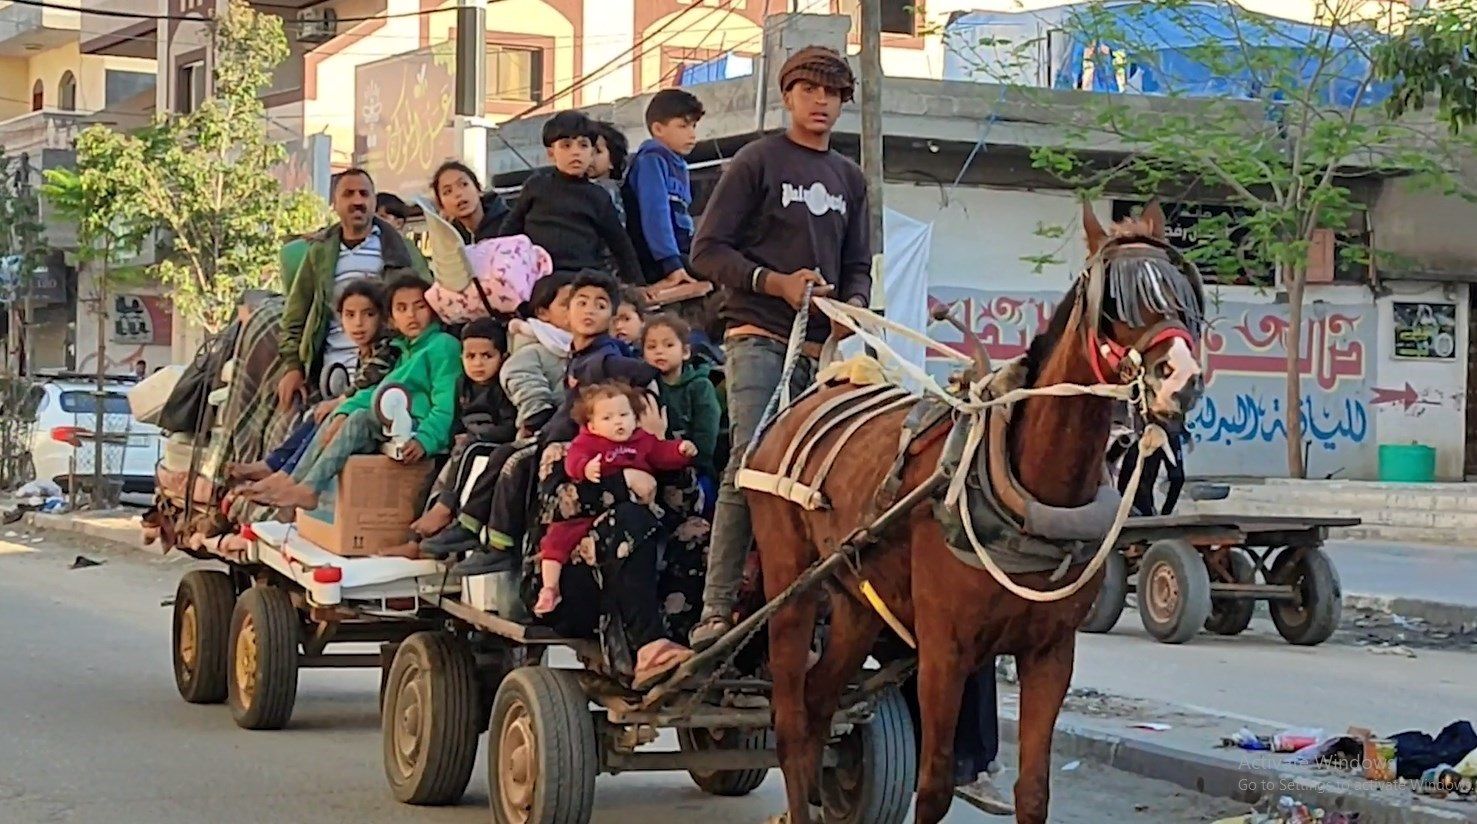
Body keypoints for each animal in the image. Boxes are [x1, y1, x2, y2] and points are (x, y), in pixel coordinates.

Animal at [750, 203, 1199, 824]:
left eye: (1181, 293)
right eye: (1117, 302)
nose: (1180, 380)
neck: (1029, 491)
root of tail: (812, 392)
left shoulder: (1051, 653)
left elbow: (1033, 791)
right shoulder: (945, 650)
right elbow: (934, 785)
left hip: (858, 605)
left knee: (820, 703)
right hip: (789, 588)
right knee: (791, 719)